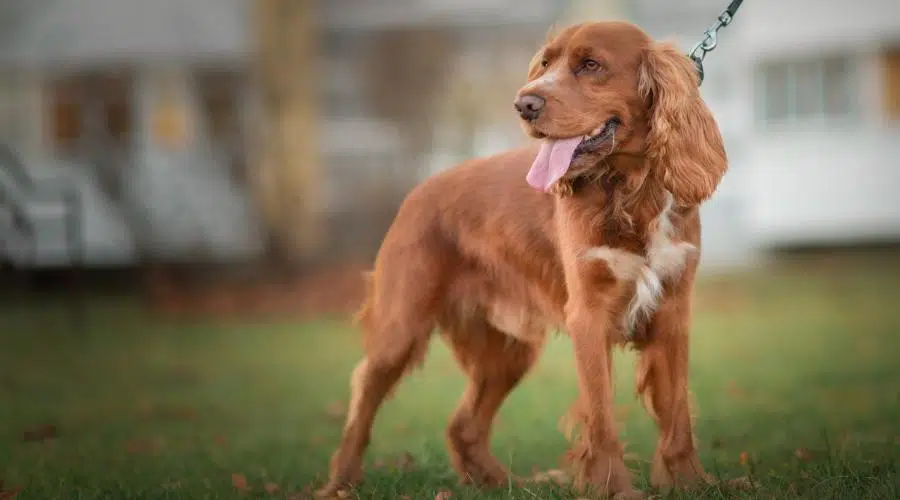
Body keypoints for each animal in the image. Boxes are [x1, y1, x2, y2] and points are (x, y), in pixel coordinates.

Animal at [314, 21, 724, 498]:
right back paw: (340, 482)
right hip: (401, 326)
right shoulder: (589, 316)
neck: (631, 191)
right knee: (364, 396)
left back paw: (499, 481)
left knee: (462, 425)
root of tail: (419, 189)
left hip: (509, 352)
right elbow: (601, 420)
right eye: (545, 63)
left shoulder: (673, 311)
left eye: (591, 65)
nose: (524, 104)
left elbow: (677, 415)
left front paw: (690, 483)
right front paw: (614, 489)